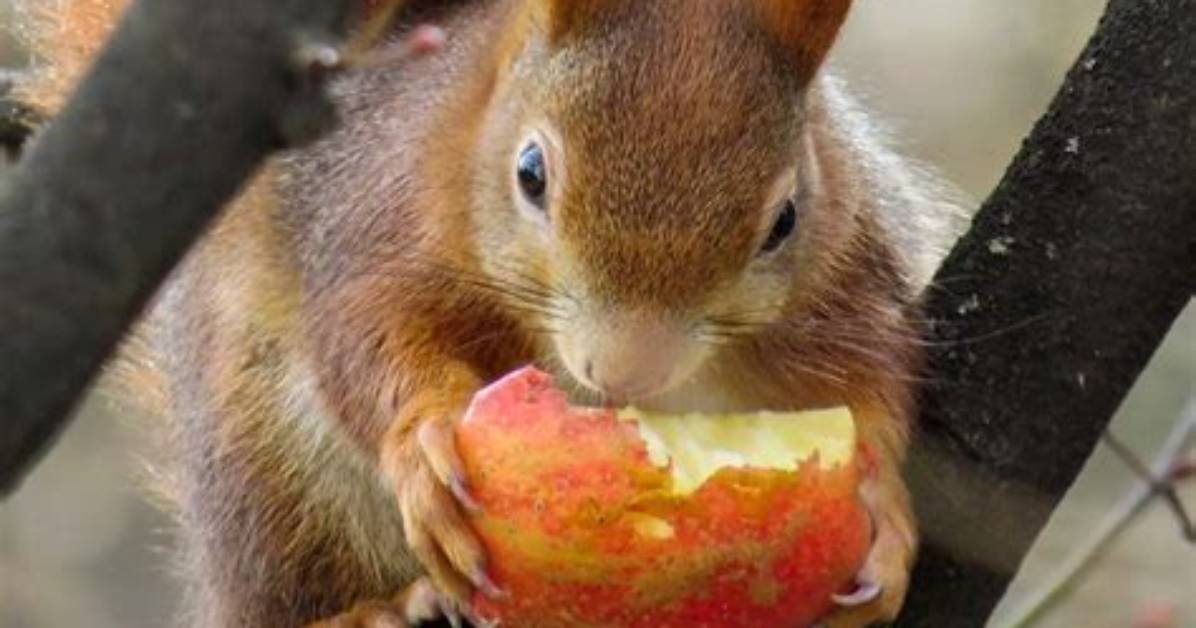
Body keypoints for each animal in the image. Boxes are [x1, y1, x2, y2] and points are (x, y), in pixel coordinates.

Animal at [14, 0, 967, 626]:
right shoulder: (377, 231)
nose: (625, 371)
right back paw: (372, 611)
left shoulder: (850, 282)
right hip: (271, 480)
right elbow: (369, 345)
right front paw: (426, 447)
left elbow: (877, 390)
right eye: (531, 173)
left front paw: (884, 512)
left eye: (785, 221)